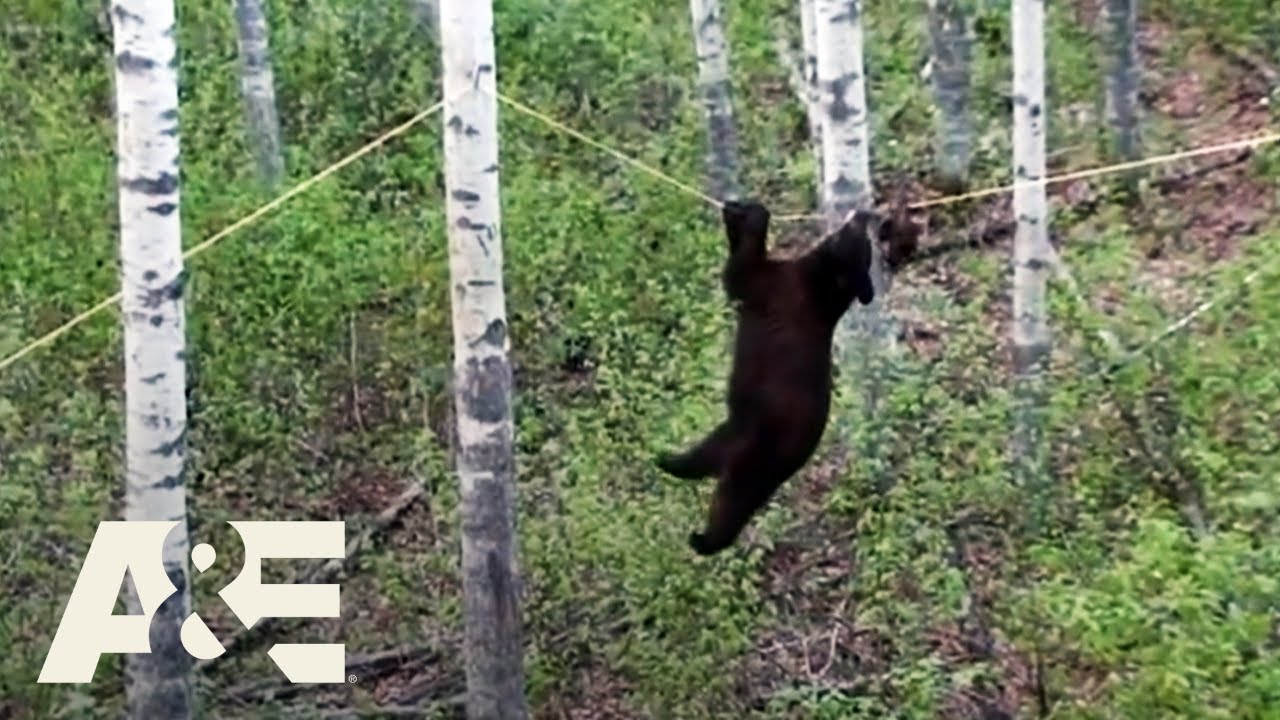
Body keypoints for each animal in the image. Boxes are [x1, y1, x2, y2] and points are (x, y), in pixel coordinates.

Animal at [656, 199, 887, 556]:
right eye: (863, 241)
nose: (861, 216)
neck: (823, 284)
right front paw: (735, 213)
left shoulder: (777, 285)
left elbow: (740, 274)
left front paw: (753, 217)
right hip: (734, 432)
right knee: (702, 457)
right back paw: (669, 461)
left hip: (758, 454)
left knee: (732, 499)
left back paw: (705, 539)